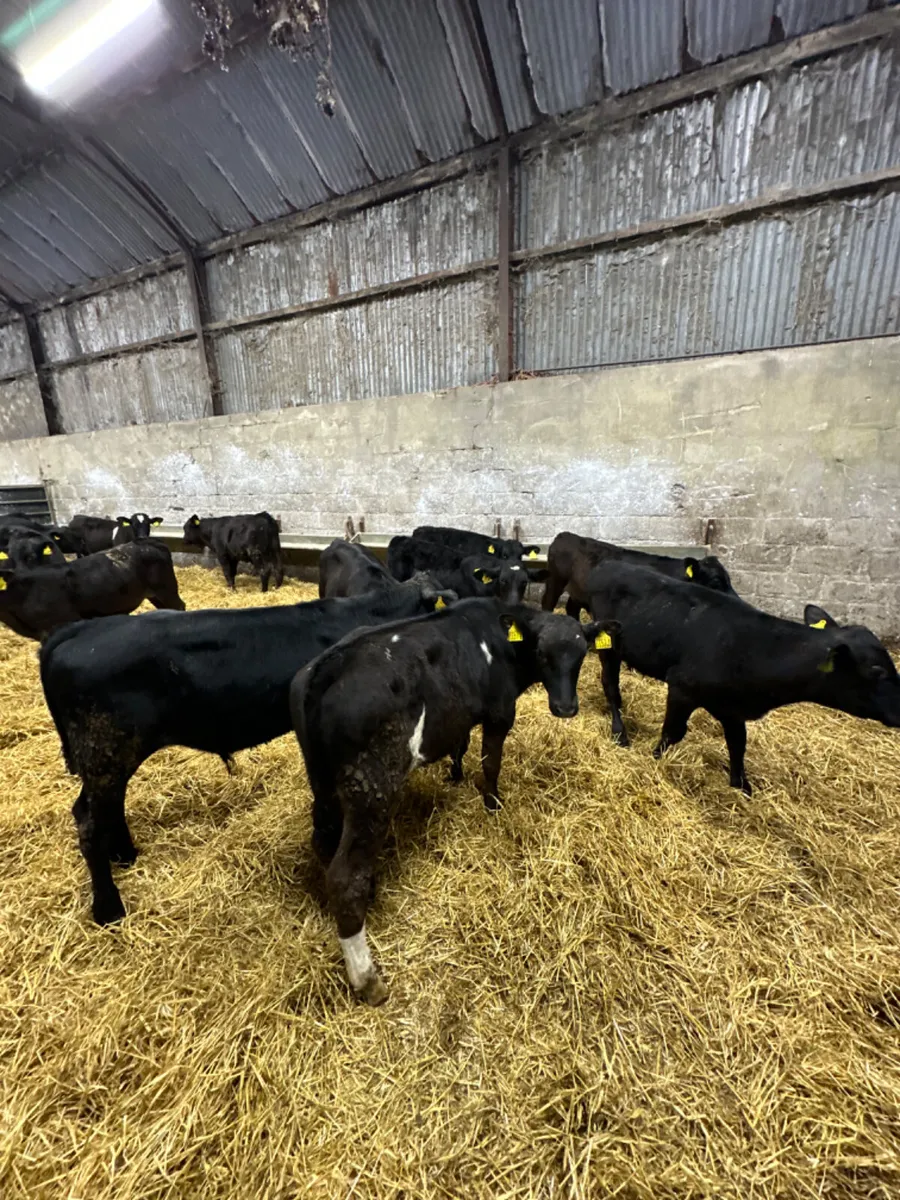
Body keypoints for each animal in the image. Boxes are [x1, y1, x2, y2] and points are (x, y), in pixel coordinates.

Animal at [39, 578, 457, 925]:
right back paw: (108, 908)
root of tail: (76, 631)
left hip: (106, 759)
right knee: (90, 824)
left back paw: (125, 854)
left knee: (100, 809)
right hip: (105, 750)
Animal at [291, 598, 608, 1005]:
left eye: (582, 655)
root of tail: (328, 668)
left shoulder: (461, 716)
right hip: (371, 785)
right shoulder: (500, 712)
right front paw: (492, 802)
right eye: (542, 653)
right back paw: (368, 979)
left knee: (324, 841)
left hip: (322, 781)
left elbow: (461, 744)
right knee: (346, 876)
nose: (566, 708)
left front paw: (455, 775)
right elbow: (490, 762)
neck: (498, 638)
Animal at [542, 531, 734, 619]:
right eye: (716, 582)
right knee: (547, 603)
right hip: (556, 581)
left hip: (577, 591)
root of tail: (565, 535)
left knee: (571, 609)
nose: (736, 600)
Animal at [586, 561, 900, 792]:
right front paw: (654, 758)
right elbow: (672, 732)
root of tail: (609, 565)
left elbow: (738, 745)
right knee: (610, 685)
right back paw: (619, 731)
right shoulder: (682, 688)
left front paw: (742, 787)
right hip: (609, 646)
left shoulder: (733, 708)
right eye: (877, 672)